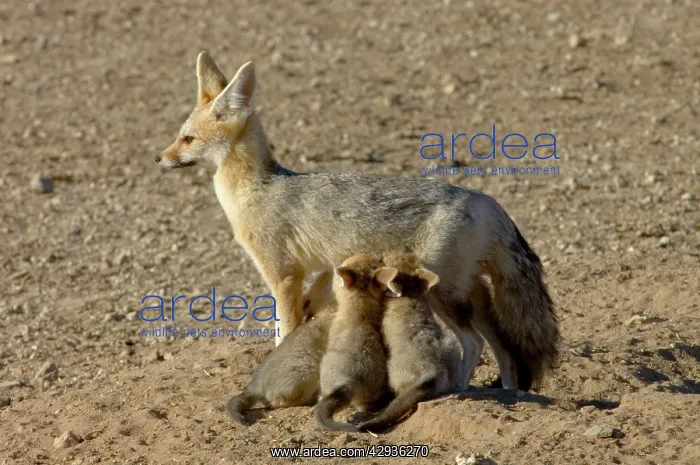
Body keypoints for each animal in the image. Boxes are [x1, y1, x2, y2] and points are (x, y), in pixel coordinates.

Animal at [155, 52, 560, 391]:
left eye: (187, 139)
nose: (159, 158)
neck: (256, 188)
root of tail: (487, 201)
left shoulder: (283, 275)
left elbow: (283, 331)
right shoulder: (317, 273)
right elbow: (309, 308)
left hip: (441, 292)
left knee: (474, 343)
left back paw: (458, 391)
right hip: (471, 295)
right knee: (505, 349)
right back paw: (510, 395)